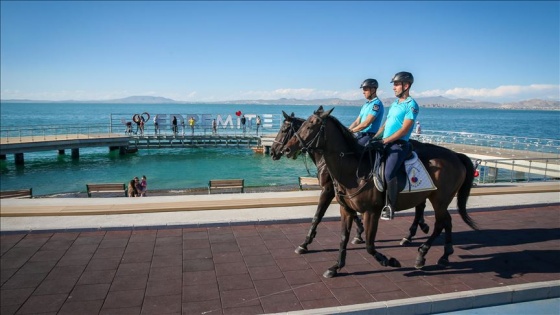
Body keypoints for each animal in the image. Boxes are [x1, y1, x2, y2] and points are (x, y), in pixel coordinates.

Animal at [270, 111, 430, 254]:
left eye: (284, 130)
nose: (273, 151)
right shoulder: (342, 192)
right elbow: (352, 212)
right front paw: (359, 233)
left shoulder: (328, 190)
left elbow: (318, 215)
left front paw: (305, 243)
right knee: (420, 204)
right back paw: (417, 230)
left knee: (420, 205)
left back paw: (413, 233)